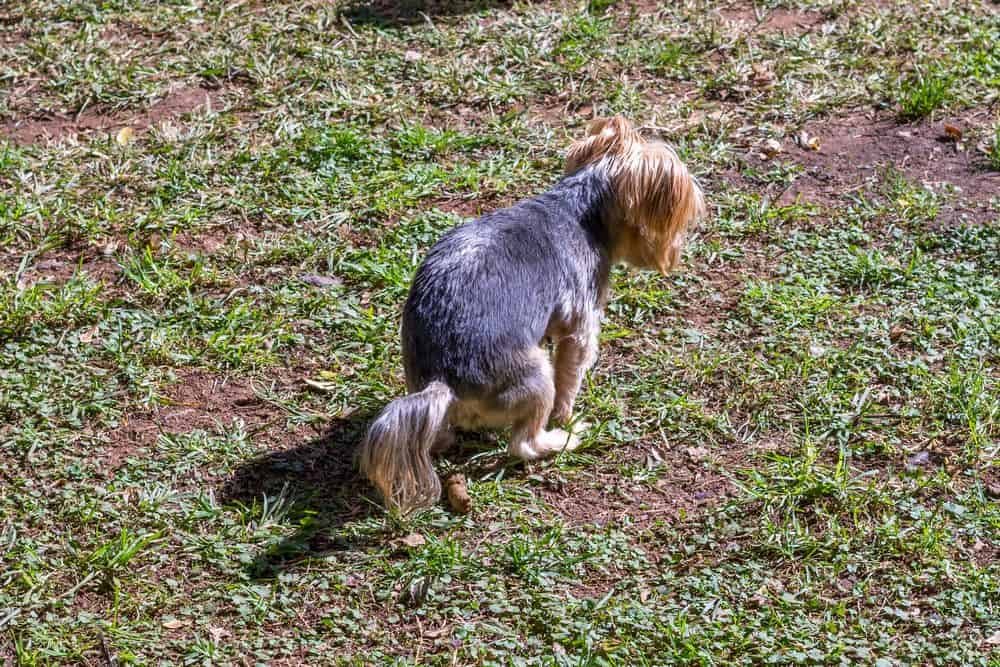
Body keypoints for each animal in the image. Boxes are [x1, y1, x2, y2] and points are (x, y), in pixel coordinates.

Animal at [356, 116, 708, 512]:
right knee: (525, 441)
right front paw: (567, 416)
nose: (676, 252)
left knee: (441, 438)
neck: (578, 206)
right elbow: (572, 371)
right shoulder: (580, 321)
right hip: (534, 375)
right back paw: (562, 439)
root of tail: (443, 381)